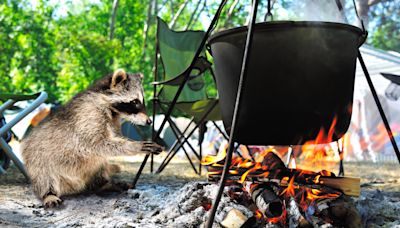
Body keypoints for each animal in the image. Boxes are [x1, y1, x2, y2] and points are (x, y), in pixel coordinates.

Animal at [21, 69, 162, 207]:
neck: (110, 108)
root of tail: (74, 186)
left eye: (141, 101)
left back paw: (104, 184)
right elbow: (97, 143)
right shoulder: (88, 115)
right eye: (134, 102)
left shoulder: (113, 120)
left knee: (100, 165)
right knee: (44, 177)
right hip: (39, 159)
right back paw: (48, 193)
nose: (149, 121)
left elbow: (110, 140)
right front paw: (135, 146)